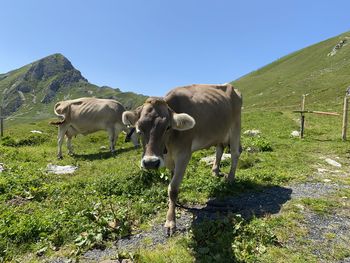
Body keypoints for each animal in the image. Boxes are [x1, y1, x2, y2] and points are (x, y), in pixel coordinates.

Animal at [121, 84, 242, 235]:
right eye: (139, 129)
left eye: (167, 127)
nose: (150, 163)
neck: (169, 144)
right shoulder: (167, 158)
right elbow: (172, 182)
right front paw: (175, 205)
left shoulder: (184, 154)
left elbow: (172, 188)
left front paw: (170, 222)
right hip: (219, 132)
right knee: (219, 149)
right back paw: (214, 172)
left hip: (235, 127)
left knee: (235, 153)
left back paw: (230, 178)